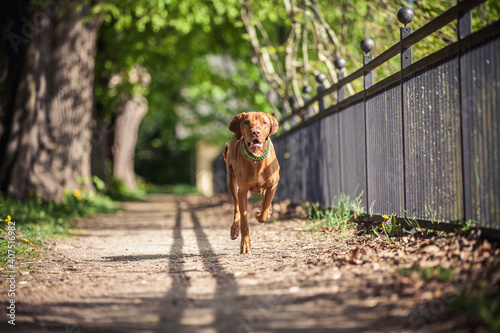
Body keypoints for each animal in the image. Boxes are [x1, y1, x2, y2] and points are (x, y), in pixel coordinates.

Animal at [224, 111, 280, 252]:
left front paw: (261, 213)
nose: (255, 132)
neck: (256, 158)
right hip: (231, 182)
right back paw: (234, 230)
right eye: (247, 122)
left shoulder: (273, 184)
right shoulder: (243, 191)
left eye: (264, 122)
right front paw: (245, 245)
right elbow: (244, 221)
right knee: (236, 208)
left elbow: (264, 211)